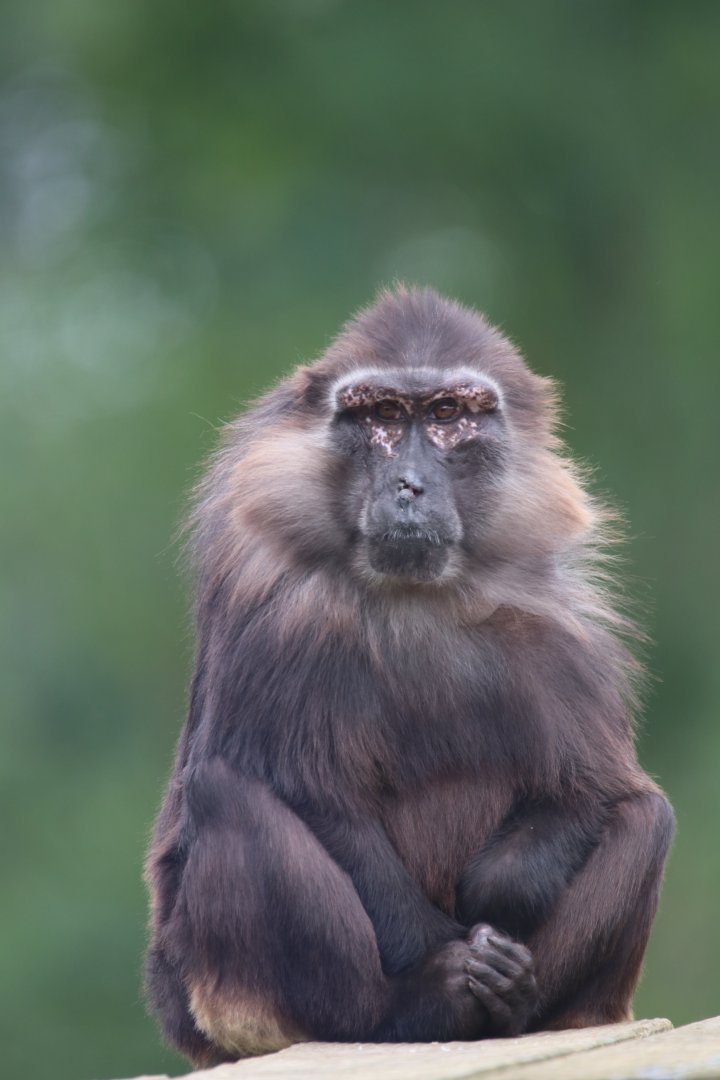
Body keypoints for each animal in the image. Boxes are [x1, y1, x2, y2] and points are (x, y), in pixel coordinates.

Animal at [144, 286, 674, 1067]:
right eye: (384, 417)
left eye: (449, 414)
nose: (409, 486)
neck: (415, 597)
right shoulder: (279, 607)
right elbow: (314, 793)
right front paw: (449, 965)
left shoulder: (554, 625)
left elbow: (594, 789)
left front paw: (498, 901)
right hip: (223, 997)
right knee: (224, 796)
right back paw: (416, 1007)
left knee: (647, 818)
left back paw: (517, 1004)